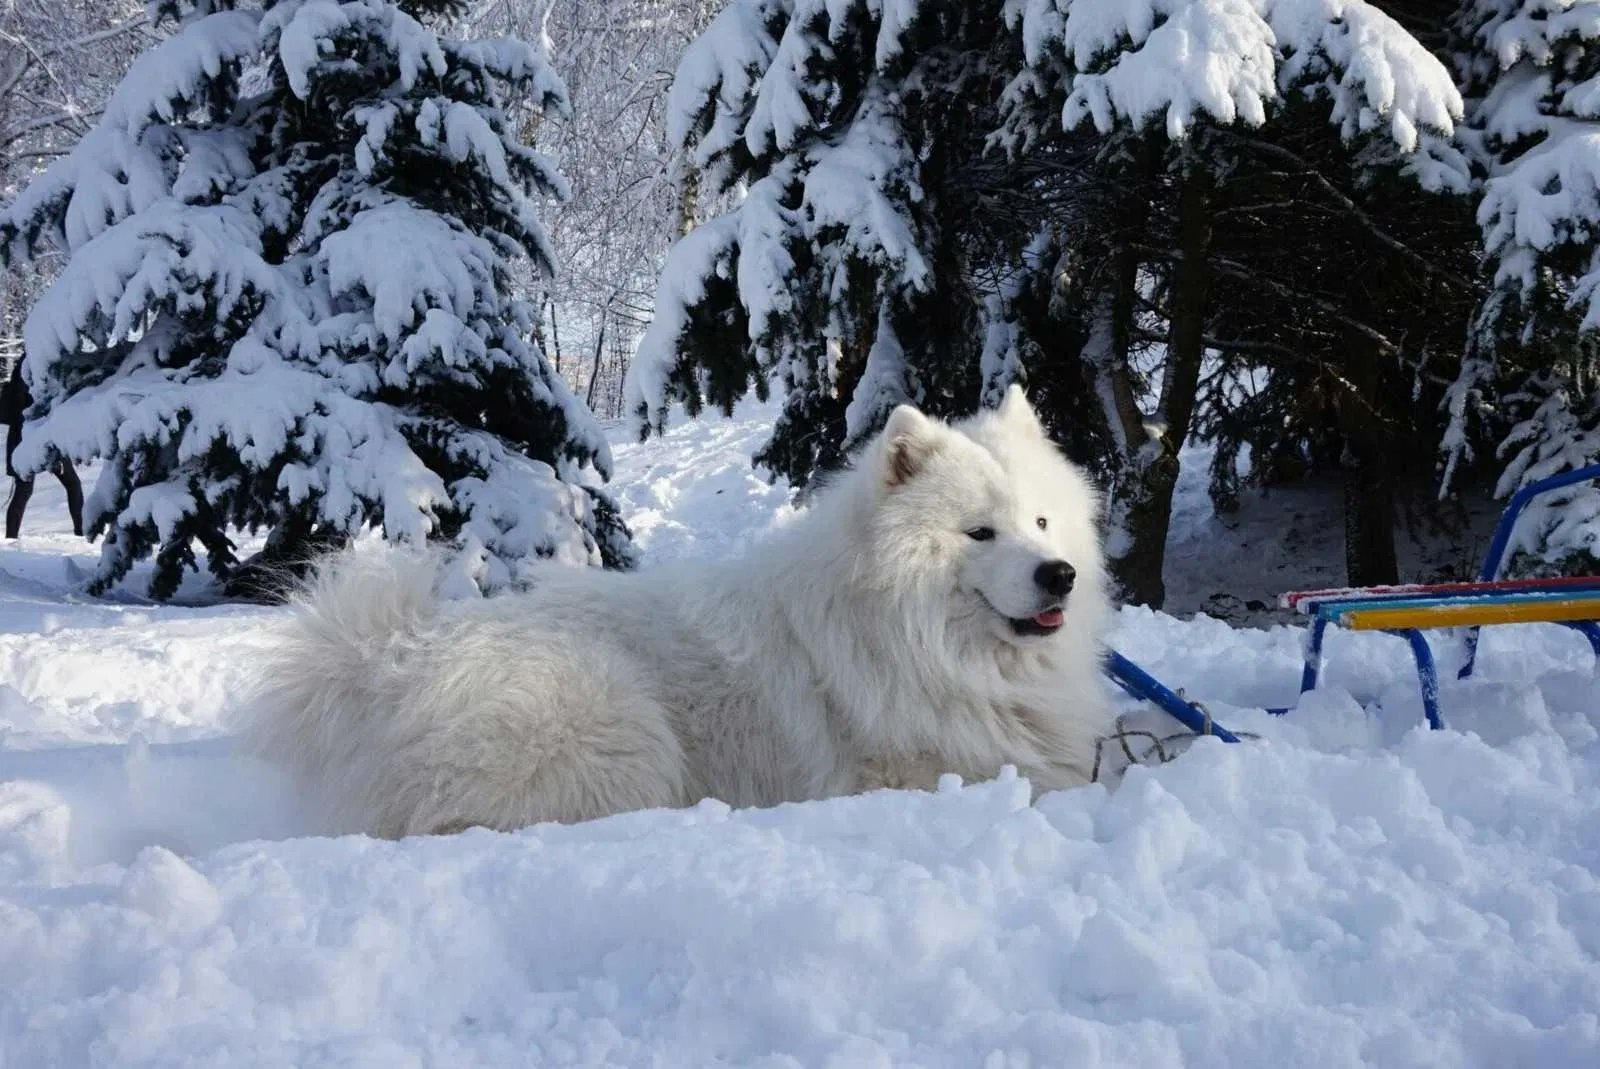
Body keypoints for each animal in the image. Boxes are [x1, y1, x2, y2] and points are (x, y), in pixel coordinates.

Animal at [246, 384, 1113, 832]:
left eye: (1041, 520)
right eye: (980, 531)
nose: (1059, 575)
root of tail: (390, 661)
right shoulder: (920, 770)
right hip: (618, 724)